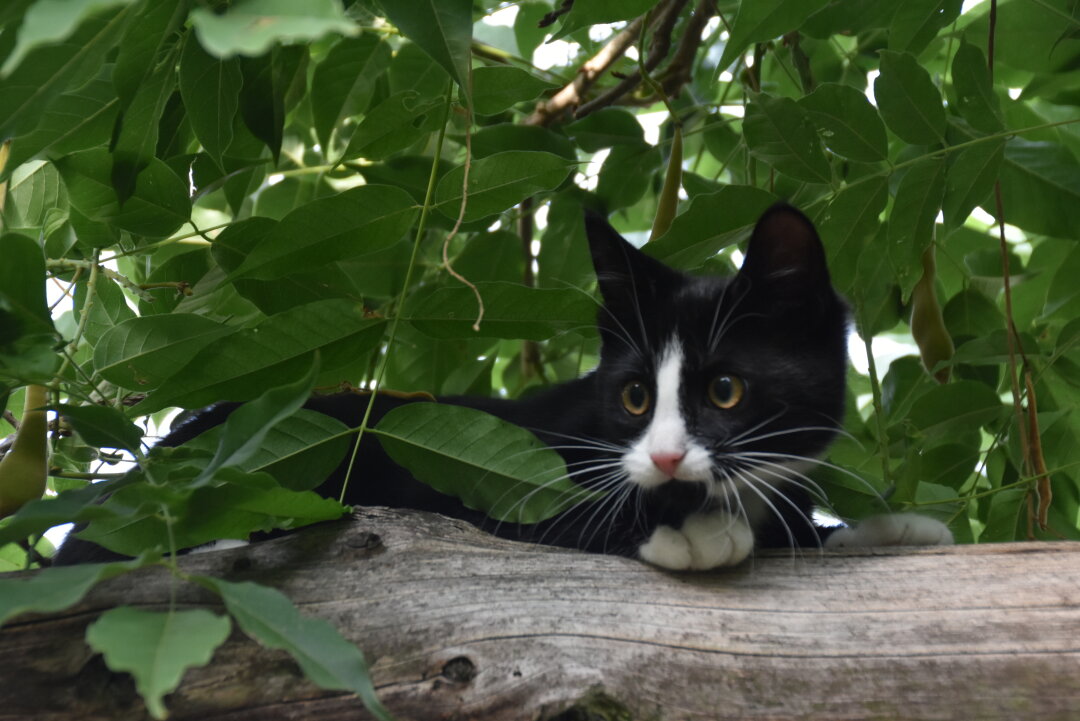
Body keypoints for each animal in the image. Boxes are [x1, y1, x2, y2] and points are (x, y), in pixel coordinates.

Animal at [54, 202, 950, 569]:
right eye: (634, 397)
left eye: (725, 390)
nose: (663, 458)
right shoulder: (524, 466)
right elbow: (558, 518)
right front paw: (691, 532)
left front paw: (881, 528)